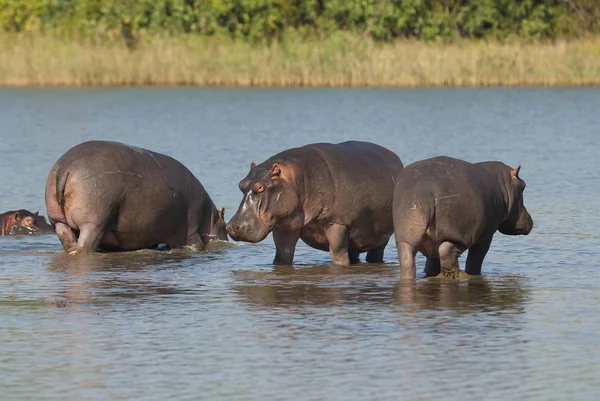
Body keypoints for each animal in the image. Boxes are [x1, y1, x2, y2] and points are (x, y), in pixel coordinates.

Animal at [45, 141, 227, 253]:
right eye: (224, 226)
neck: (210, 217)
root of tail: (65, 168)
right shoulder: (192, 233)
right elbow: (197, 244)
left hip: (57, 220)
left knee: (67, 238)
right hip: (93, 223)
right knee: (85, 245)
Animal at [225, 141, 404, 266]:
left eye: (260, 187)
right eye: (240, 184)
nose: (232, 227)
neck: (298, 178)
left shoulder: (337, 223)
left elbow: (338, 255)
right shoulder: (285, 226)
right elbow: (282, 255)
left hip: (381, 237)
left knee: (375, 253)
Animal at [394, 155, 536, 280]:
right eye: (523, 186)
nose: (530, 219)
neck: (504, 184)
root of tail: (426, 192)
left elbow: (432, 262)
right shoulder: (486, 235)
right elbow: (476, 257)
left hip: (405, 238)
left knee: (408, 261)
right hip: (461, 234)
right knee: (447, 251)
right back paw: (460, 275)